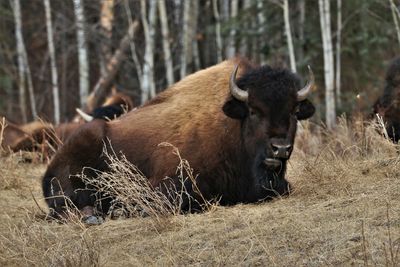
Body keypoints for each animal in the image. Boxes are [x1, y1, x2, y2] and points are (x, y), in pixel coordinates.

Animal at [40, 59, 316, 222]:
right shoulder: (165, 183)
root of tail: (48, 172)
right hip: (86, 147)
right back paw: (94, 215)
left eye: (294, 111)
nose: (279, 148)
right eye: (253, 110)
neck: (232, 126)